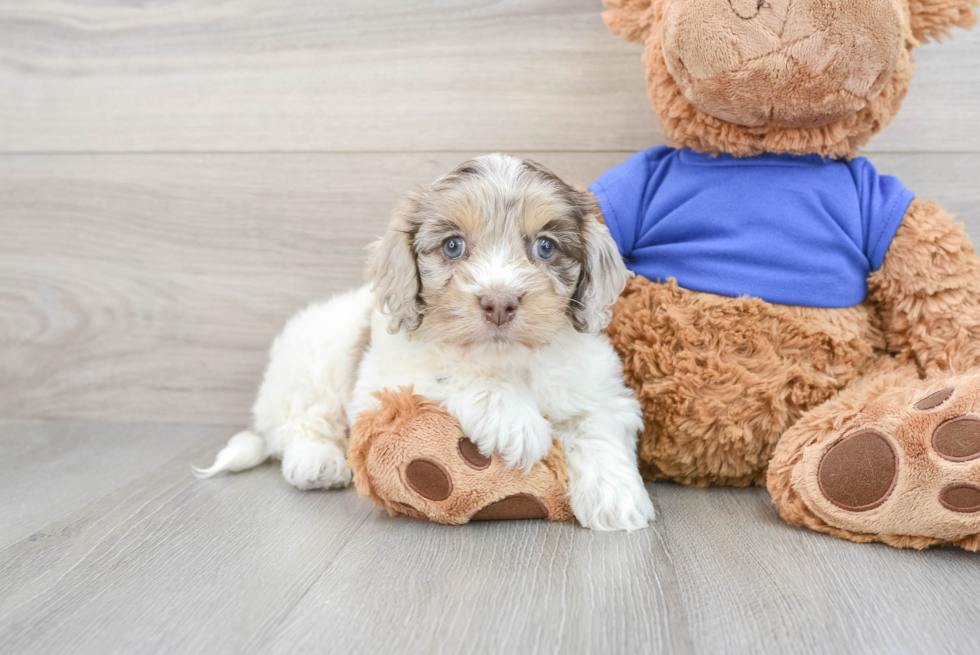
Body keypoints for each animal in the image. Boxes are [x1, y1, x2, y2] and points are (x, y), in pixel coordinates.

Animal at [197, 155, 660, 532]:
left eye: (545, 247)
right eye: (453, 246)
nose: (499, 302)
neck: (505, 357)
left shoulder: (599, 387)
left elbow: (596, 426)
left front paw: (615, 495)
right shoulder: (383, 381)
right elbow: (452, 373)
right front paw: (514, 419)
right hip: (308, 362)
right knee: (298, 422)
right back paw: (316, 461)